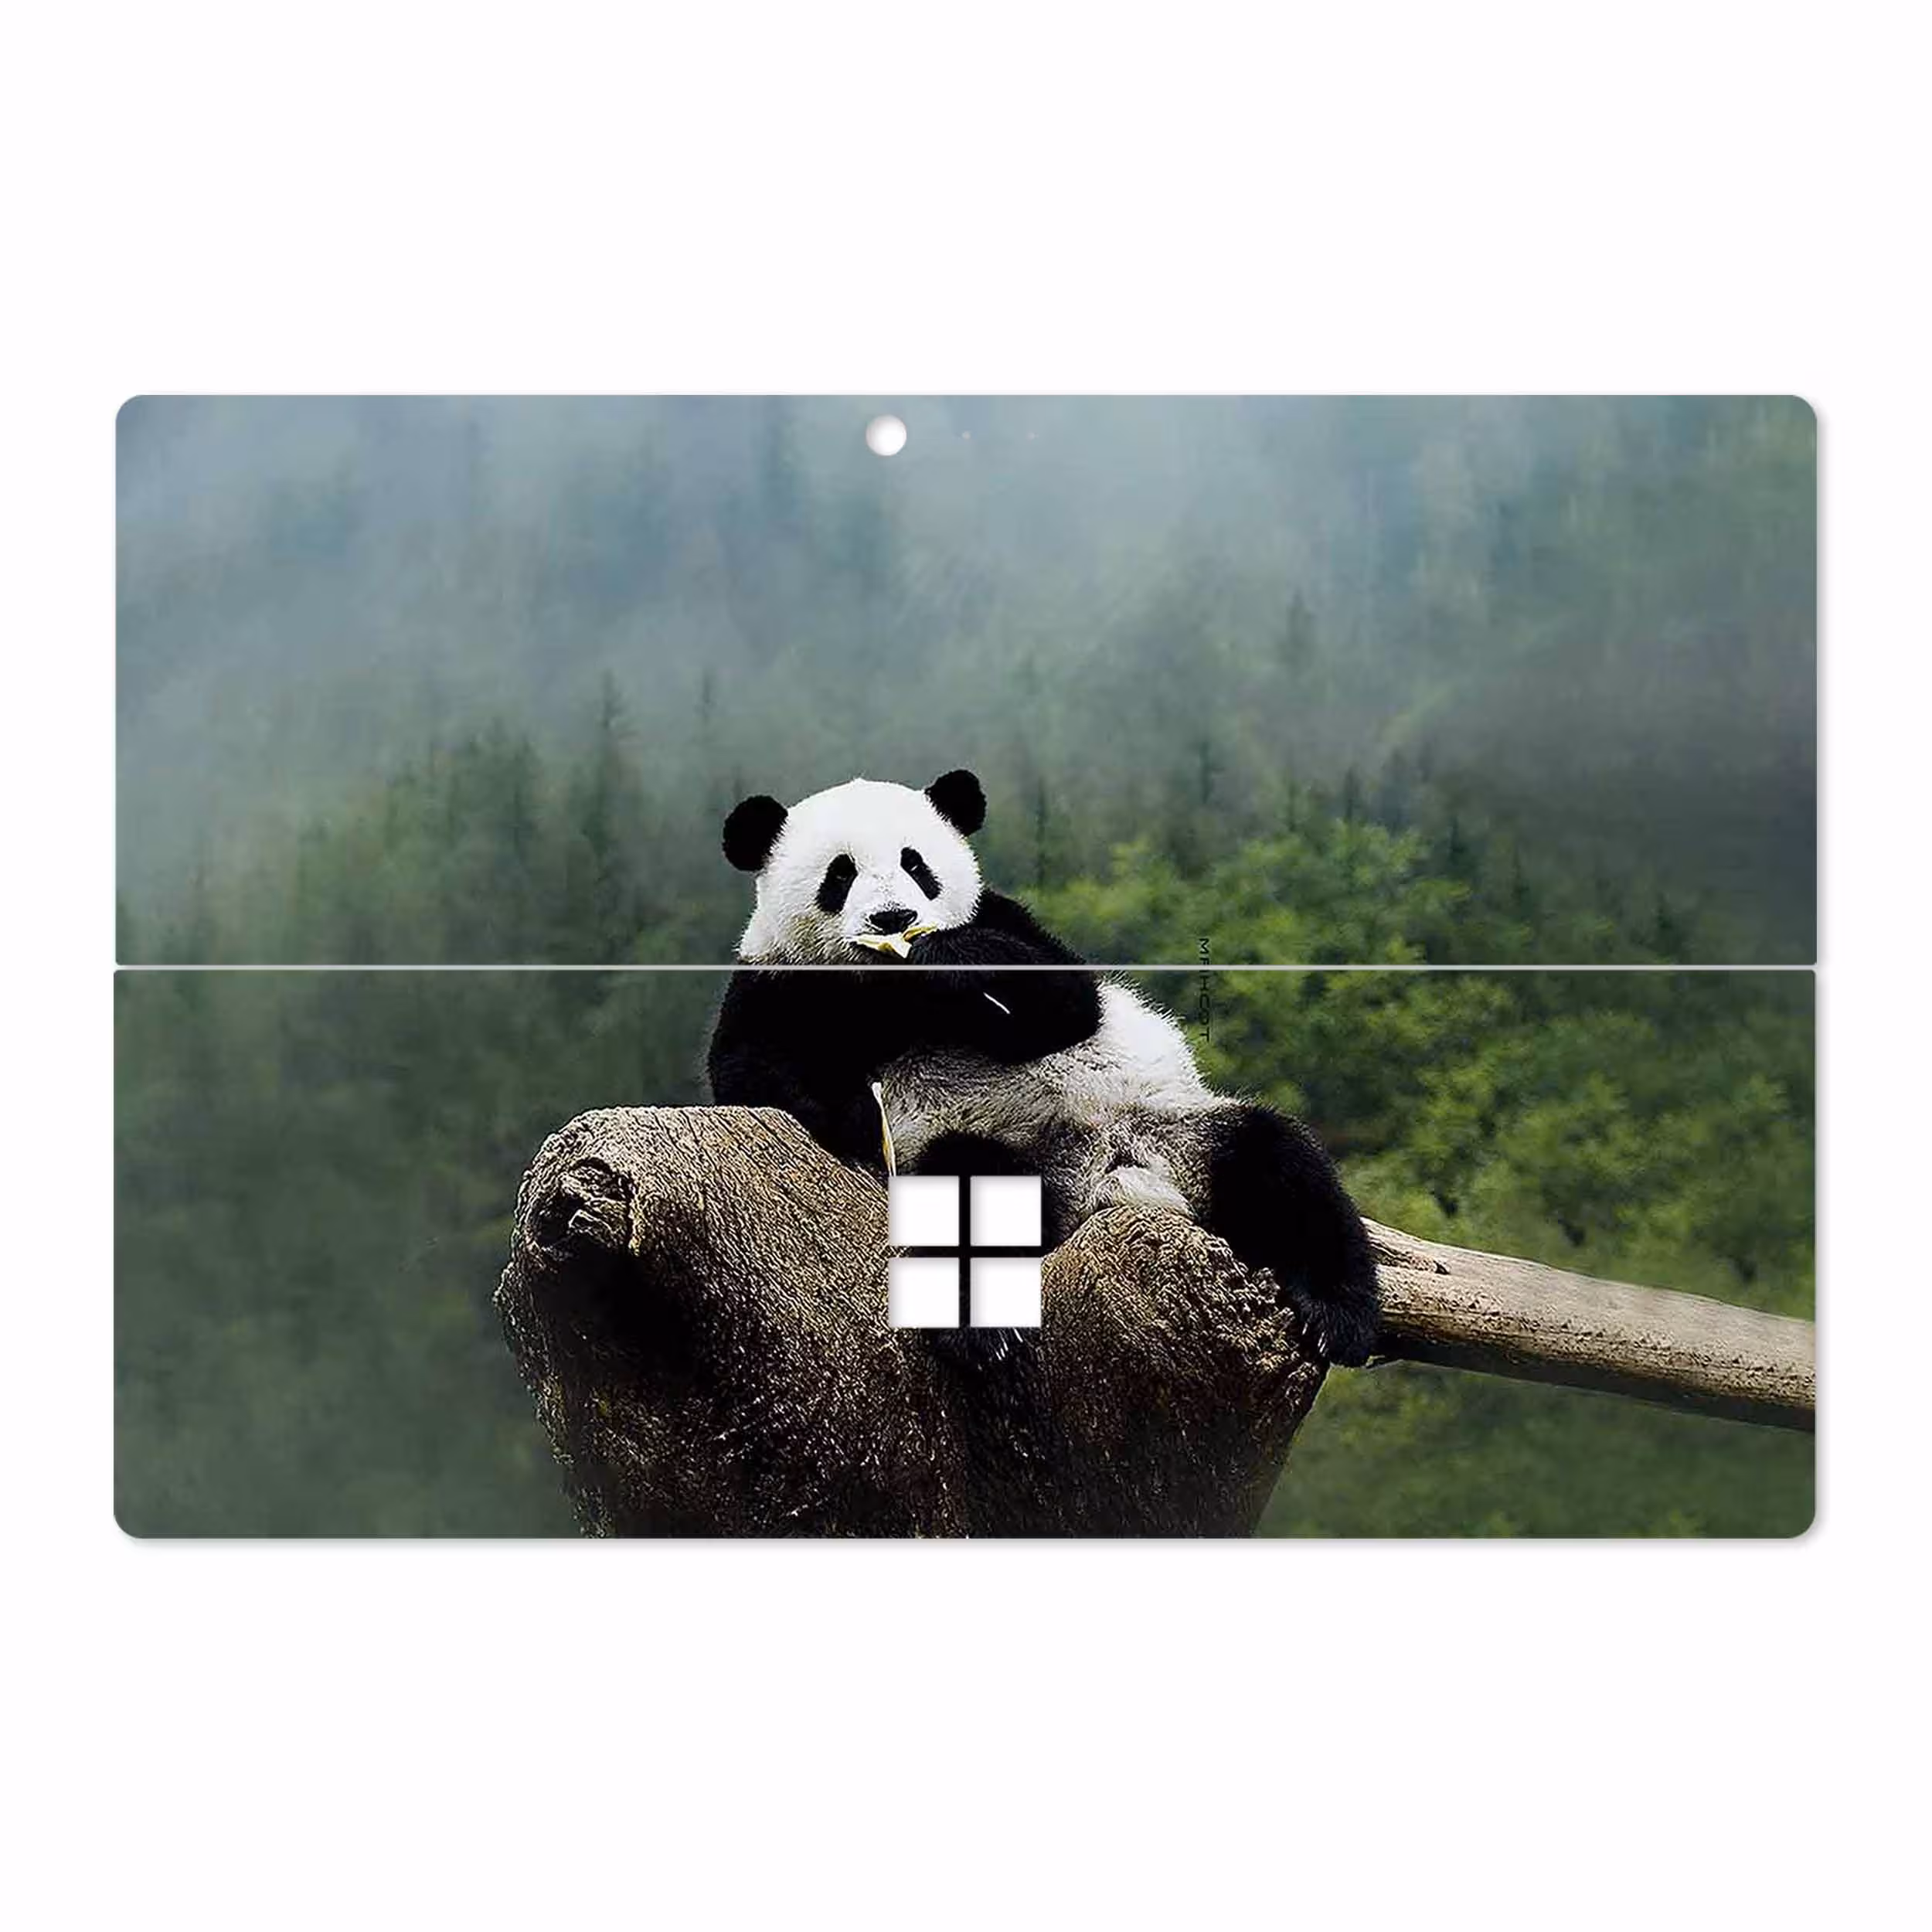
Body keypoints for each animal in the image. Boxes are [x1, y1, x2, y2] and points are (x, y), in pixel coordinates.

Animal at [705, 768, 1380, 1366]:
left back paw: (1335, 1315)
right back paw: (983, 1331)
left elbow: (1069, 1002)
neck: (889, 988)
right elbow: (750, 1073)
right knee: (967, 1188)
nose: (894, 919)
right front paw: (852, 1114)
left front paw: (949, 958)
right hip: (996, 1149)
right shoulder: (777, 981)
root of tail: (1105, 1183)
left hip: (1177, 1131)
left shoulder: (1002, 919)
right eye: (840, 874)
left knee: (1281, 1164)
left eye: (916, 865)